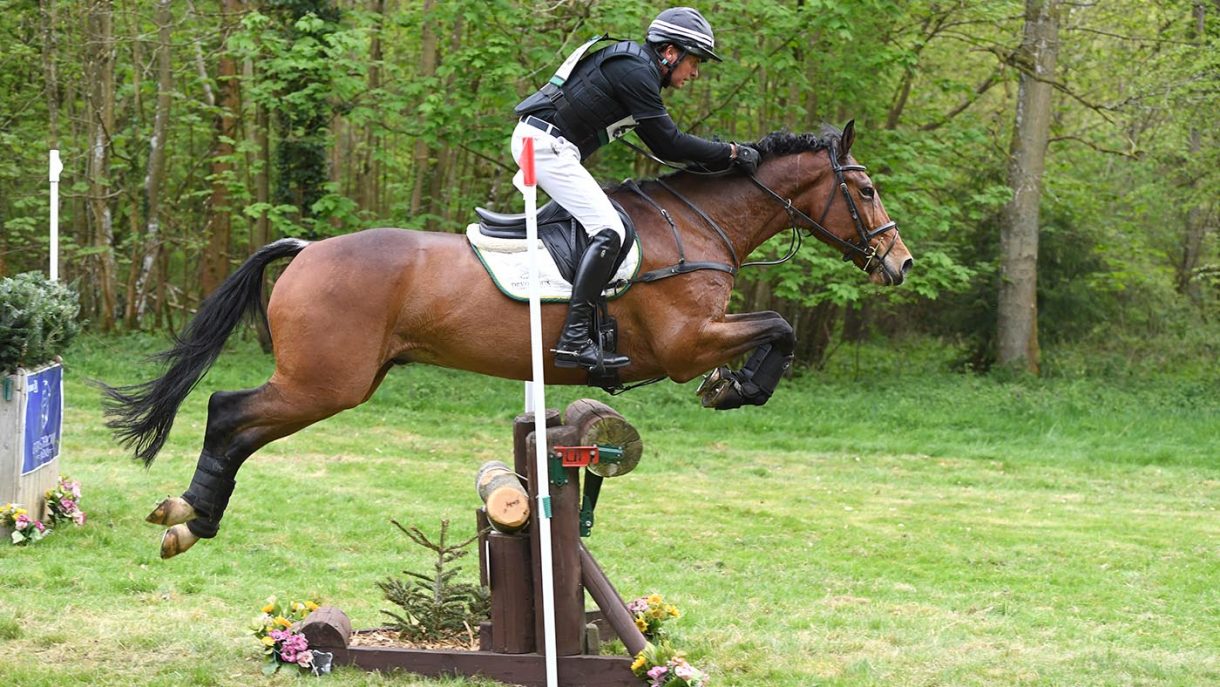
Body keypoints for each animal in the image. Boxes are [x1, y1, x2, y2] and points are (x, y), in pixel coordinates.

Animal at [102, 121, 912, 559]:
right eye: (866, 189)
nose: (900, 263)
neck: (697, 227)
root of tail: (306, 250)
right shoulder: (686, 344)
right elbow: (778, 330)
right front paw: (737, 387)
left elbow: (775, 331)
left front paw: (736, 384)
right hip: (323, 382)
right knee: (228, 411)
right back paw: (189, 516)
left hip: (335, 381)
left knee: (237, 420)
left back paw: (191, 517)